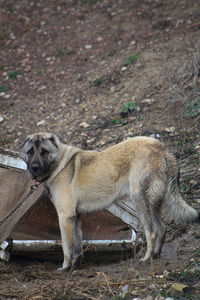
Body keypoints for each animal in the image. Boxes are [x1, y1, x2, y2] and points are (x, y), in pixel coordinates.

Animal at [21, 133, 199, 270]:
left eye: (44, 152)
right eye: (30, 152)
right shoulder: (76, 218)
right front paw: (76, 265)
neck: (59, 164)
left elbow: (66, 246)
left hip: (139, 202)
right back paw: (155, 255)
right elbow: (77, 246)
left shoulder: (65, 217)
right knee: (162, 228)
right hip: (151, 205)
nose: (34, 168)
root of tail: (160, 147)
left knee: (152, 232)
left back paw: (146, 259)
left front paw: (65, 268)